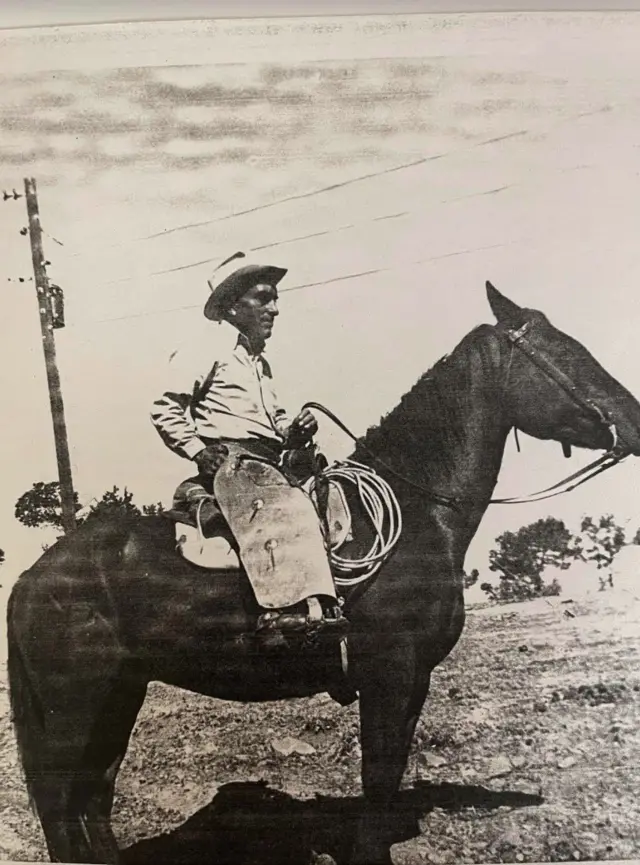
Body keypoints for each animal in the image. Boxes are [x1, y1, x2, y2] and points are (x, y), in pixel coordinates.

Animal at [7, 286, 640, 864]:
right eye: (567, 349)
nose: (635, 424)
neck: (418, 507)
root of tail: (32, 577)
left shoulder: (414, 679)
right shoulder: (389, 672)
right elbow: (377, 776)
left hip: (119, 696)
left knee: (93, 801)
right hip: (74, 709)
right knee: (63, 809)